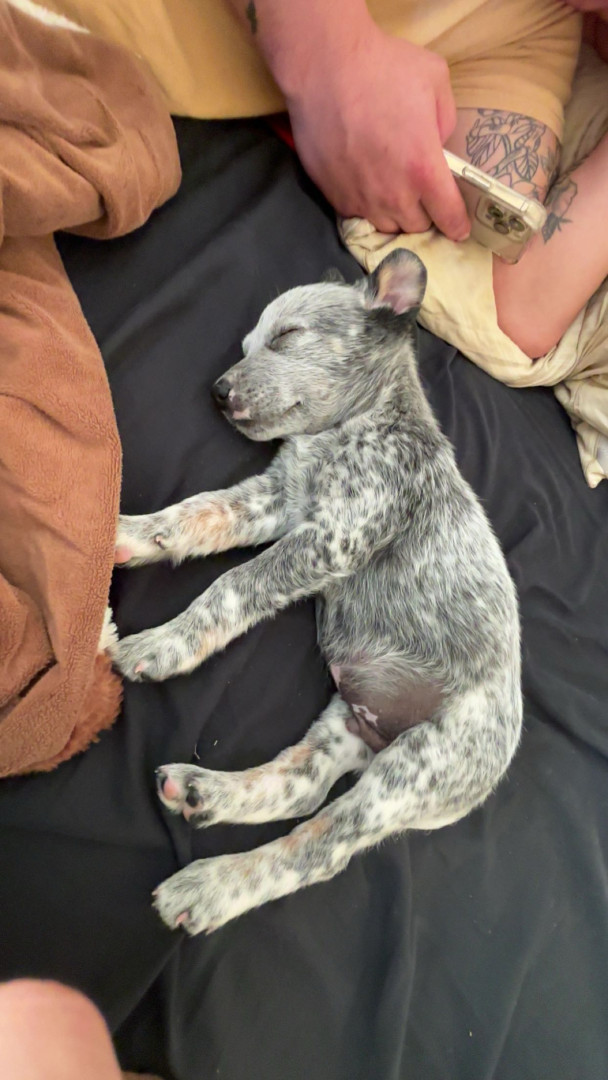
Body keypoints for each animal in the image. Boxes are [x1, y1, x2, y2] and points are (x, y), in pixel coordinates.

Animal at [111, 250, 522, 935]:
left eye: (286, 336)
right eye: (246, 346)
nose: (217, 390)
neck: (345, 430)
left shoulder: (331, 537)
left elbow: (232, 585)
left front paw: (164, 643)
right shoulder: (274, 499)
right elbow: (193, 513)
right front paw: (128, 533)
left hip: (411, 768)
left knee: (319, 848)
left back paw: (212, 885)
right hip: (347, 723)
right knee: (300, 785)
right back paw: (205, 790)